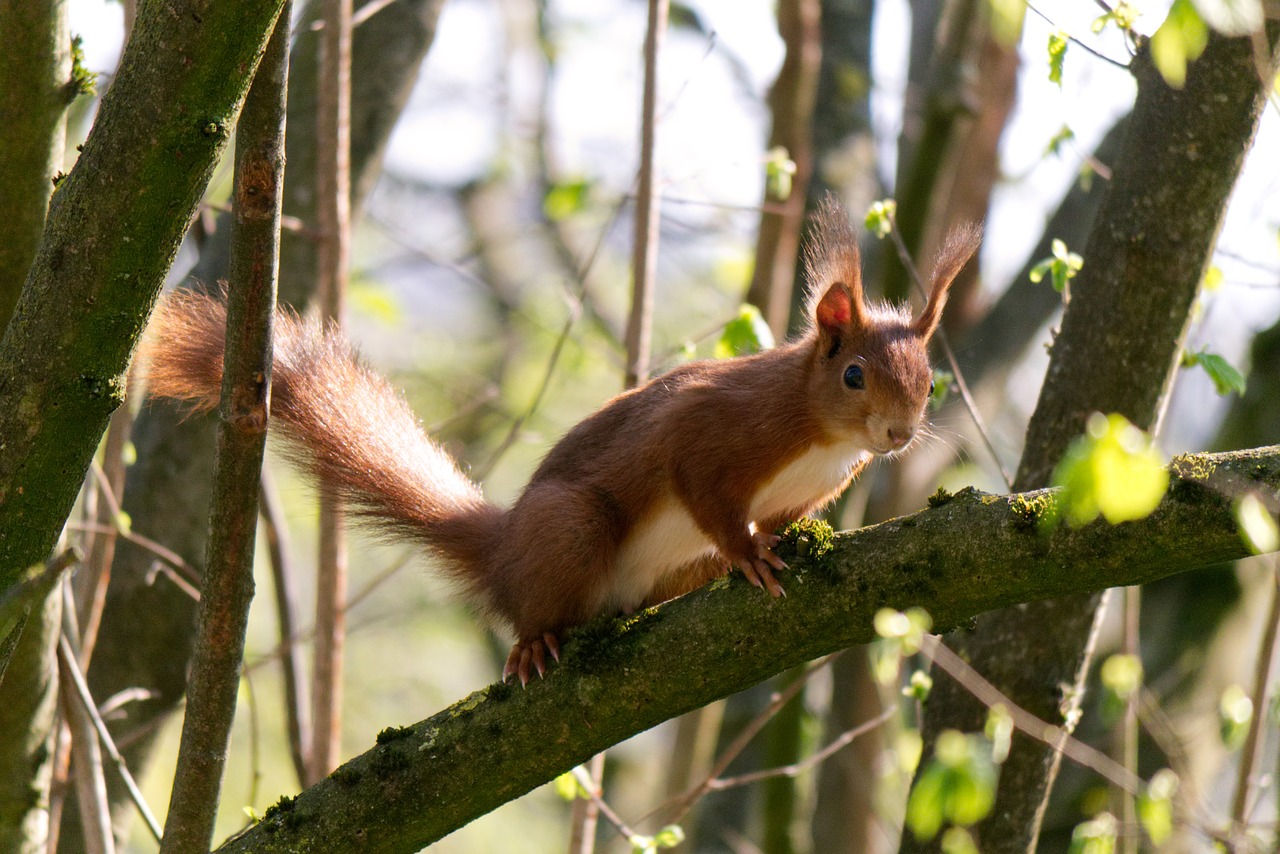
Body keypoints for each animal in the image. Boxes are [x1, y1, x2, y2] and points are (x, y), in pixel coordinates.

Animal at [140, 198, 977, 681]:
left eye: (930, 377)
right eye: (855, 376)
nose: (899, 433)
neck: (819, 437)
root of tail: (504, 548)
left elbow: (786, 517)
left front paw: (789, 541)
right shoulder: (714, 431)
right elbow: (706, 492)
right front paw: (750, 553)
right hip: (569, 529)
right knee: (536, 606)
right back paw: (534, 642)